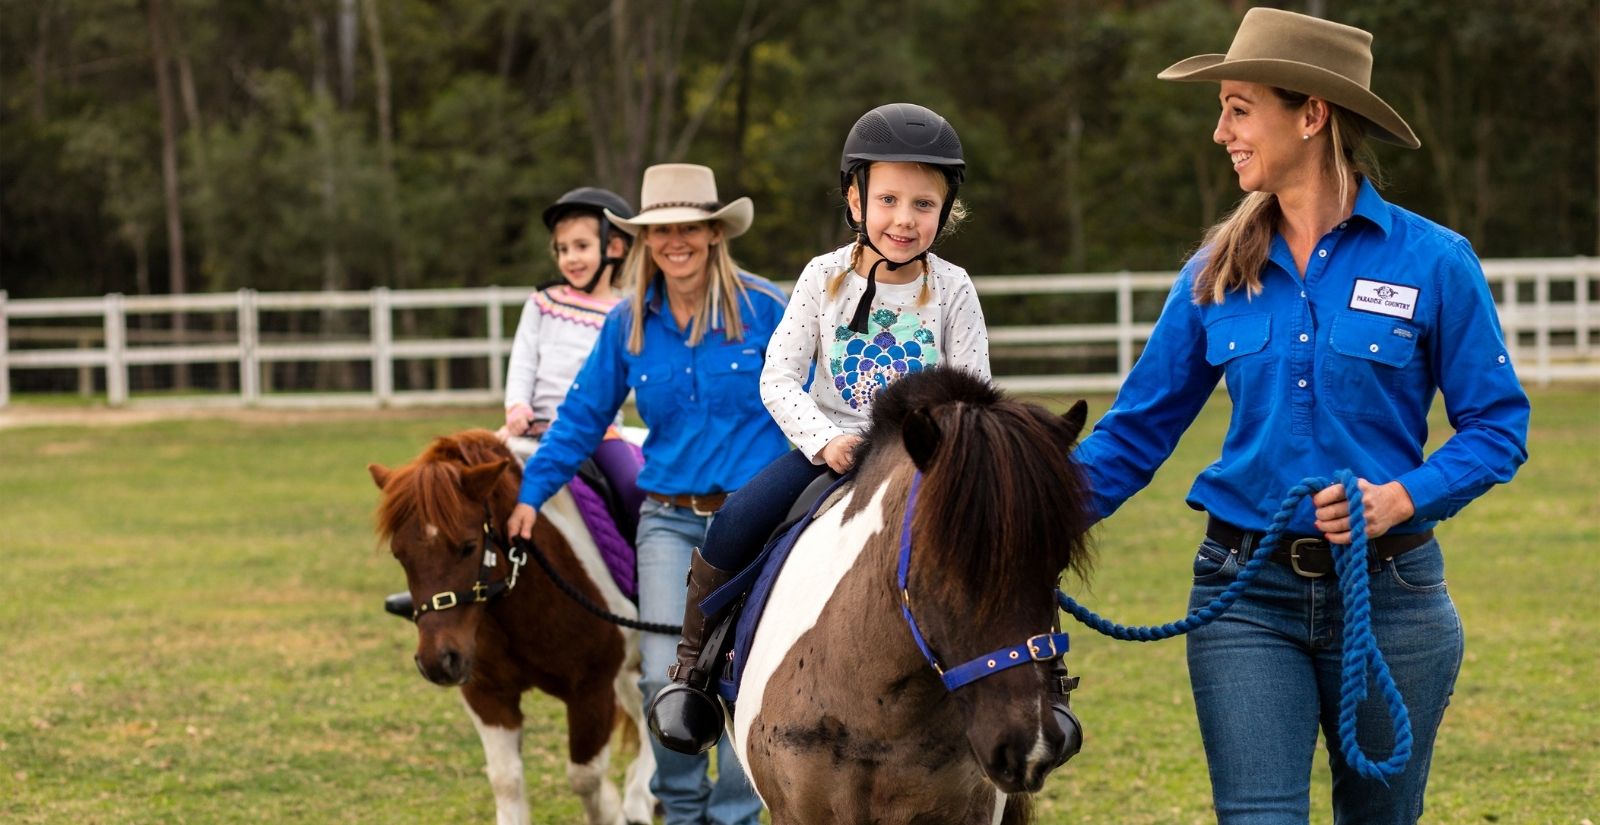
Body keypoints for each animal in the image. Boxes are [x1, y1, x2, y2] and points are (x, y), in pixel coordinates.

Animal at [369, 428, 656, 825]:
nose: (438, 661)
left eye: (468, 546)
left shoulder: (591, 689)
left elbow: (586, 778)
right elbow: (506, 781)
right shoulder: (486, 694)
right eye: (400, 554)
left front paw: (614, 809)